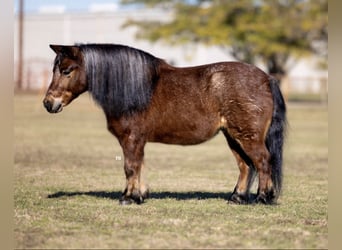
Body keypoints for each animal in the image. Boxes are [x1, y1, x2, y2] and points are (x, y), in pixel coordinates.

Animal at [44, 44, 288, 206]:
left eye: (67, 70)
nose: (48, 103)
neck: (136, 88)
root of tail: (266, 78)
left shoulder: (131, 138)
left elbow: (130, 167)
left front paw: (127, 198)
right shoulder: (137, 141)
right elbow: (139, 166)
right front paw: (140, 195)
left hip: (248, 137)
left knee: (263, 161)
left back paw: (262, 198)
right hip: (232, 136)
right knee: (245, 166)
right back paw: (236, 198)